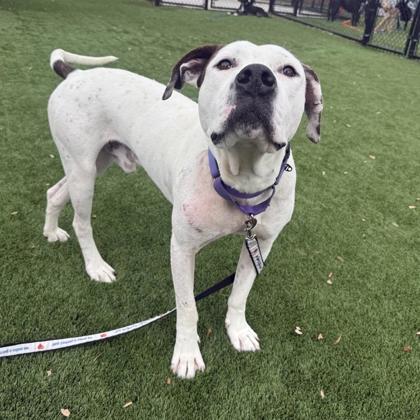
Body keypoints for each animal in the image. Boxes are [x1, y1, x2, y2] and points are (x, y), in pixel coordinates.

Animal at [44, 41, 323, 378]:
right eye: (225, 63)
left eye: (289, 71)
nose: (257, 77)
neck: (242, 180)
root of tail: (75, 75)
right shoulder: (182, 248)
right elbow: (188, 307)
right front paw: (188, 355)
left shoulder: (261, 243)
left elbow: (240, 293)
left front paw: (238, 331)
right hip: (83, 170)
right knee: (82, 222)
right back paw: (96, 267)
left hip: (92, 165)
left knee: (55, 193)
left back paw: (50, 232)